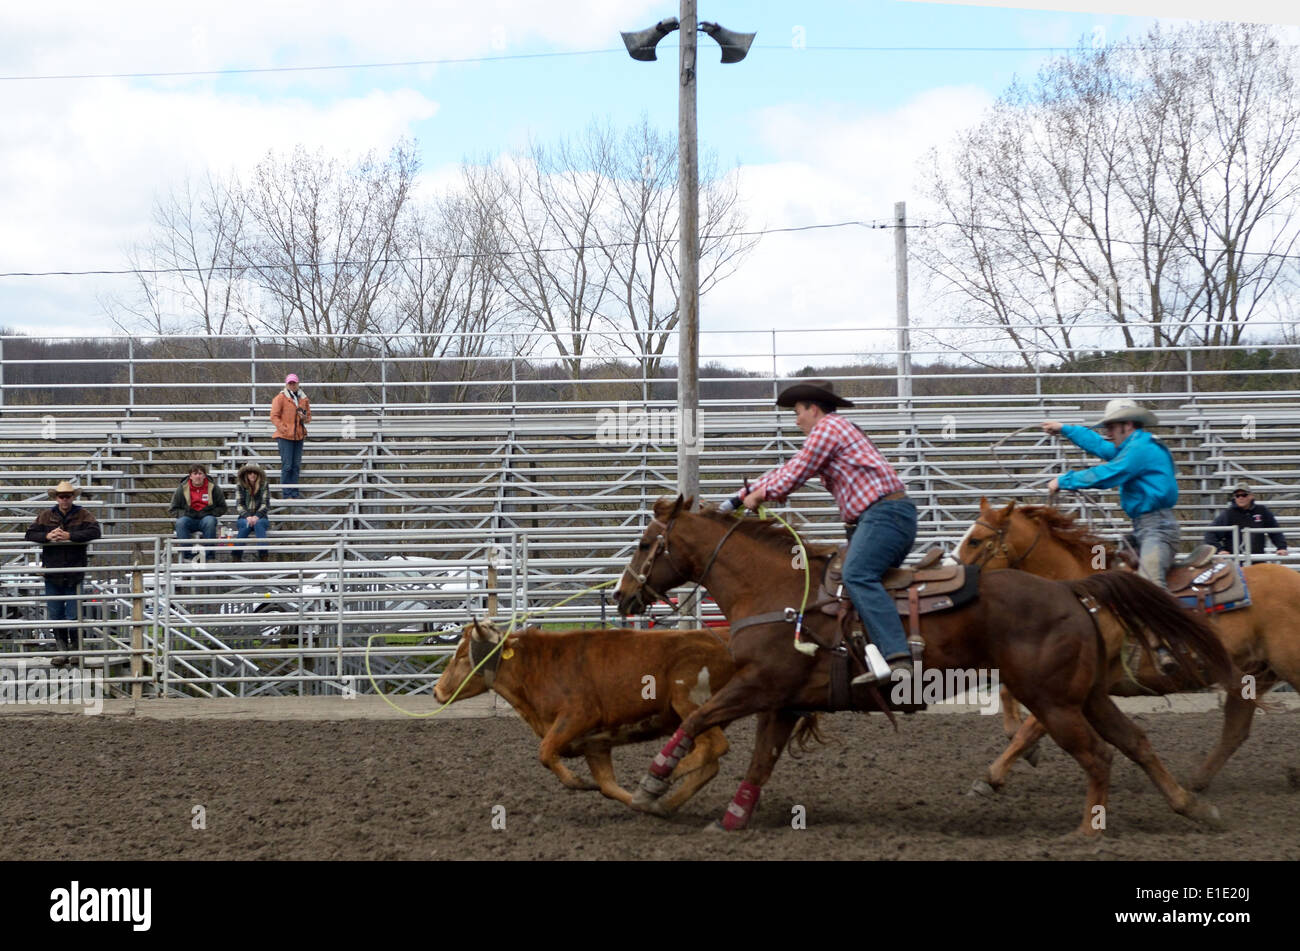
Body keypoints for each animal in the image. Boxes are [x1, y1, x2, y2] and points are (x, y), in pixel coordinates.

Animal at [434, 621, 733, 815]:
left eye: (462, 656)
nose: (437, 691)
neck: (534, 668)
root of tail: (723, 640)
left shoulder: (578, 716)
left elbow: (545, 752)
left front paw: (580, 782)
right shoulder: (595, 744)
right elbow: (608, 785)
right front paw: (640, 802)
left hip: (691, 704)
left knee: (716, 746)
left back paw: (663, 777)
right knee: (710, 763)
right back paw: (665, 803)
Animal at [613, 493, 1232, 836]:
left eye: (645, 543)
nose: (621, 596)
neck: (780, 590)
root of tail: (1070, 588)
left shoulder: (759, 686)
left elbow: (698, 720)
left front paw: (651, 784)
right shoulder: (782, 702)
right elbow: (760, 763)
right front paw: (732, 820)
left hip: (1054, 700)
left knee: (1099, 755)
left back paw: (1085, 832)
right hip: (1087, 695)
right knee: (1135, 742)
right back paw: (1193, 807)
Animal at [951, 498, 1294, 795]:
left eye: (975, 540)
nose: (954, 580)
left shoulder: (1068, 688)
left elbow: (1031, 727)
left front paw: (990, 777)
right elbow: (1010, 700)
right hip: (1252, 675)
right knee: (1236, 729)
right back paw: (1196, 782)